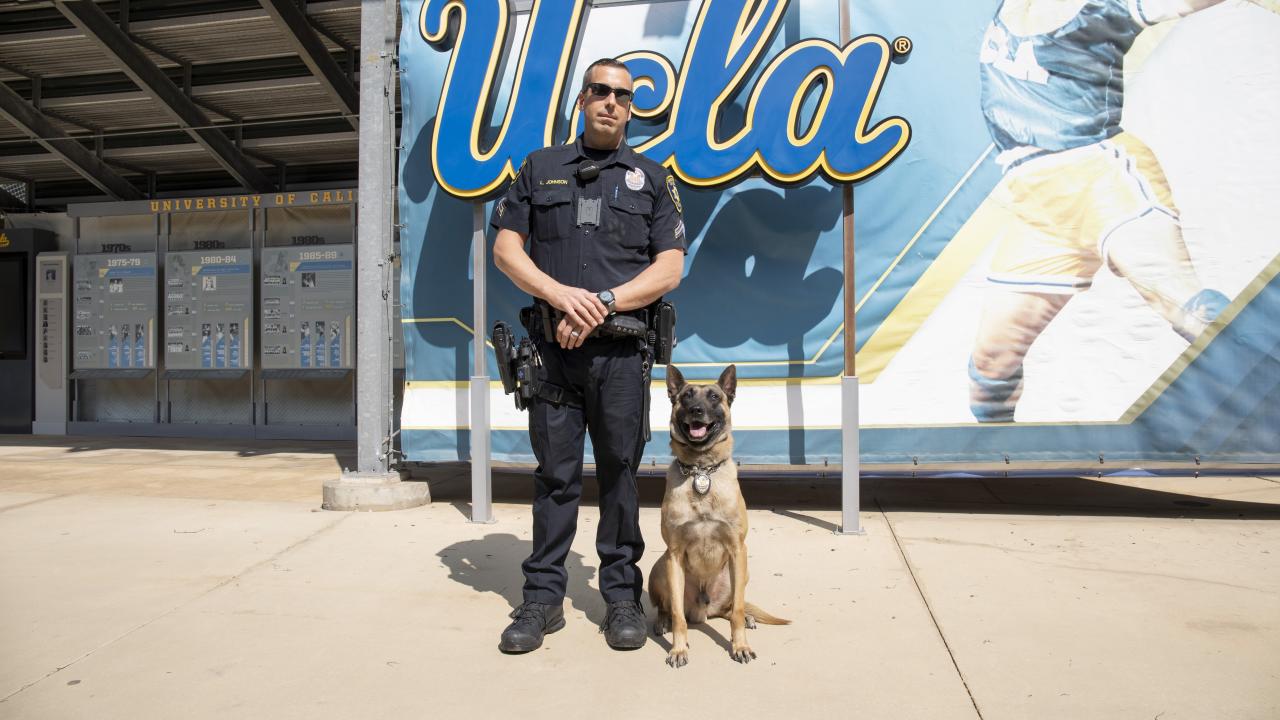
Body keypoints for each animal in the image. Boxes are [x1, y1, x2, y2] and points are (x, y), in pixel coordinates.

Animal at [650, 363, 788, 666]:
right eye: (686, 396)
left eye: (714, 397)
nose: (696, 410)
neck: (701, 470)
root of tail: (703, 610)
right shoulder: (674, 553)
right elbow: (677, 614)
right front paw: (678, 649)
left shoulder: (738, 549)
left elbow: (736, 609)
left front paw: (740, 646)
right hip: (660, 568)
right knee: (668, 607)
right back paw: (661, 622)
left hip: (740, 573)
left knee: (731, 607)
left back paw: (746, 618)